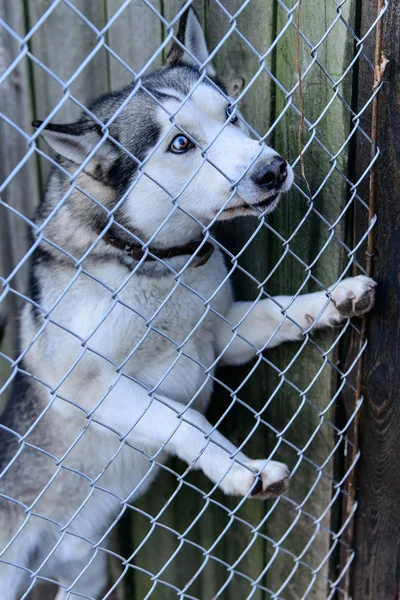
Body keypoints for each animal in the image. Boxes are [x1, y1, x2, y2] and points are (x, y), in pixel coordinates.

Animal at [0, 5, 376, 600]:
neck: (157, 264)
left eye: (230, 114)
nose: (273, 169)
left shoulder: (217, 333)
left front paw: (336, 299)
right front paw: (243, 472)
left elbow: (280, 308)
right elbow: (184, 420)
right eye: (179, 144)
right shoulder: (88, 388)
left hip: (83, 570)